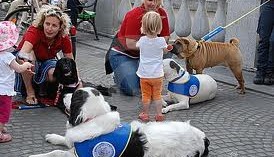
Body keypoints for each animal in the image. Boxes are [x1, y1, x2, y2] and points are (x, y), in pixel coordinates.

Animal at [28, 87, 210, 157]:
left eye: (73, 96)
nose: (63, 94)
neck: (95, 119)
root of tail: (203, 138)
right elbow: (65, 141)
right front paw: (53, 137)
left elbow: (56, 153)